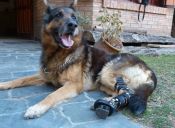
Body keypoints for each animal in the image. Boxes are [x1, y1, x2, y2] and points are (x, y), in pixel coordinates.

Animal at [0, 1, 157, 119]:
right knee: (121, 92)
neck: (59, 54)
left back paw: (109, 103)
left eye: (74, 17)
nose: (73, 25)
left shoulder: (73, 85)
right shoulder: (44, 76)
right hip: (103, 83)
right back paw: (107, 101)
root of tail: (150, 70)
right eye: (58, 15)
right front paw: (3, 84)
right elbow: (21, 79)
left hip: (106, 73)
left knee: (129, 92)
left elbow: (52, 95)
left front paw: (36, 108)